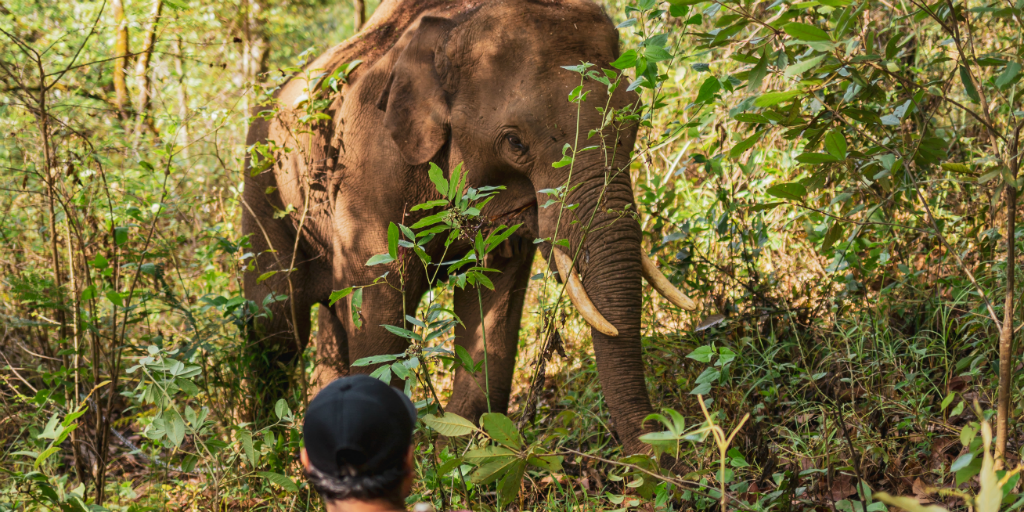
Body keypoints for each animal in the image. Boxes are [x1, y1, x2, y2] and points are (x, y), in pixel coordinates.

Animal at [243, 0, 700, 452]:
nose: (659, 457)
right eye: (515, 142)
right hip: (260, 185)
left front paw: (465, 445)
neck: (452, 25)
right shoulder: (367, 173)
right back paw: (263, 441)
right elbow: (379, 308)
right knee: (277, 323)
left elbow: (491, 296)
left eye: (635, 119)